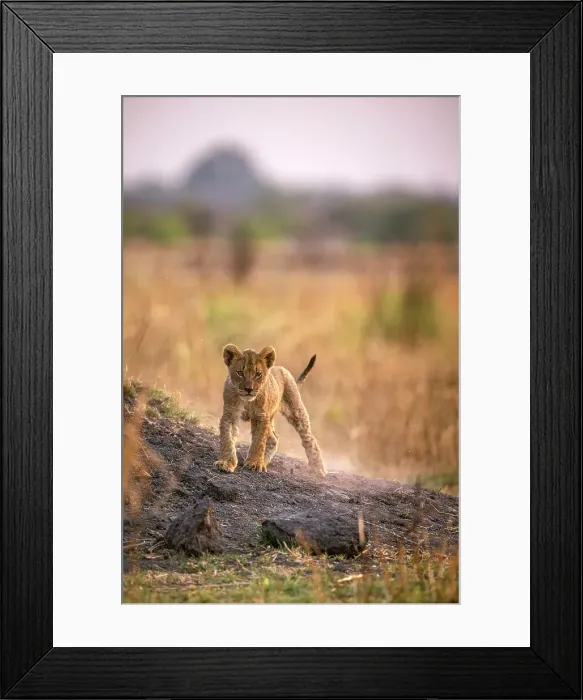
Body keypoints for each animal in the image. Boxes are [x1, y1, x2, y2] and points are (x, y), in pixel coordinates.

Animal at [215, 344, 327, 476]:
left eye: (258, 374)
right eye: (240, 373)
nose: (248, 389)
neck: (247, 401)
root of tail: (281, 368)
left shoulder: (261, 416)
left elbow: (258, 441)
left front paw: (254, 463)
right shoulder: (230, 414)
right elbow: (227, 439)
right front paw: (226, 463)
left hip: (295, 411)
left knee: (309, 439)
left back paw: (318, 468)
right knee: (273, 439)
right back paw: (264, 461)